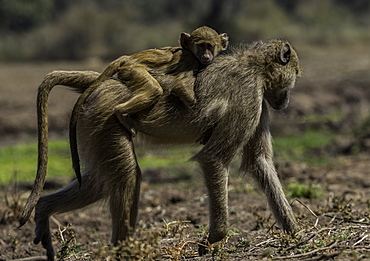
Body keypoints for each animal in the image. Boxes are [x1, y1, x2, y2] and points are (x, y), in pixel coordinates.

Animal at [68, 26, 227, 184]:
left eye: (209, 46)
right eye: (201, 45)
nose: (206, 55)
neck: (191, 52)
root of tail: (128, 58)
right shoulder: (190, 61)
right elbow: (180, 86)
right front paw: (208, 126)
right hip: (133, 70)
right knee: (154, 89)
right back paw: (121, 112)